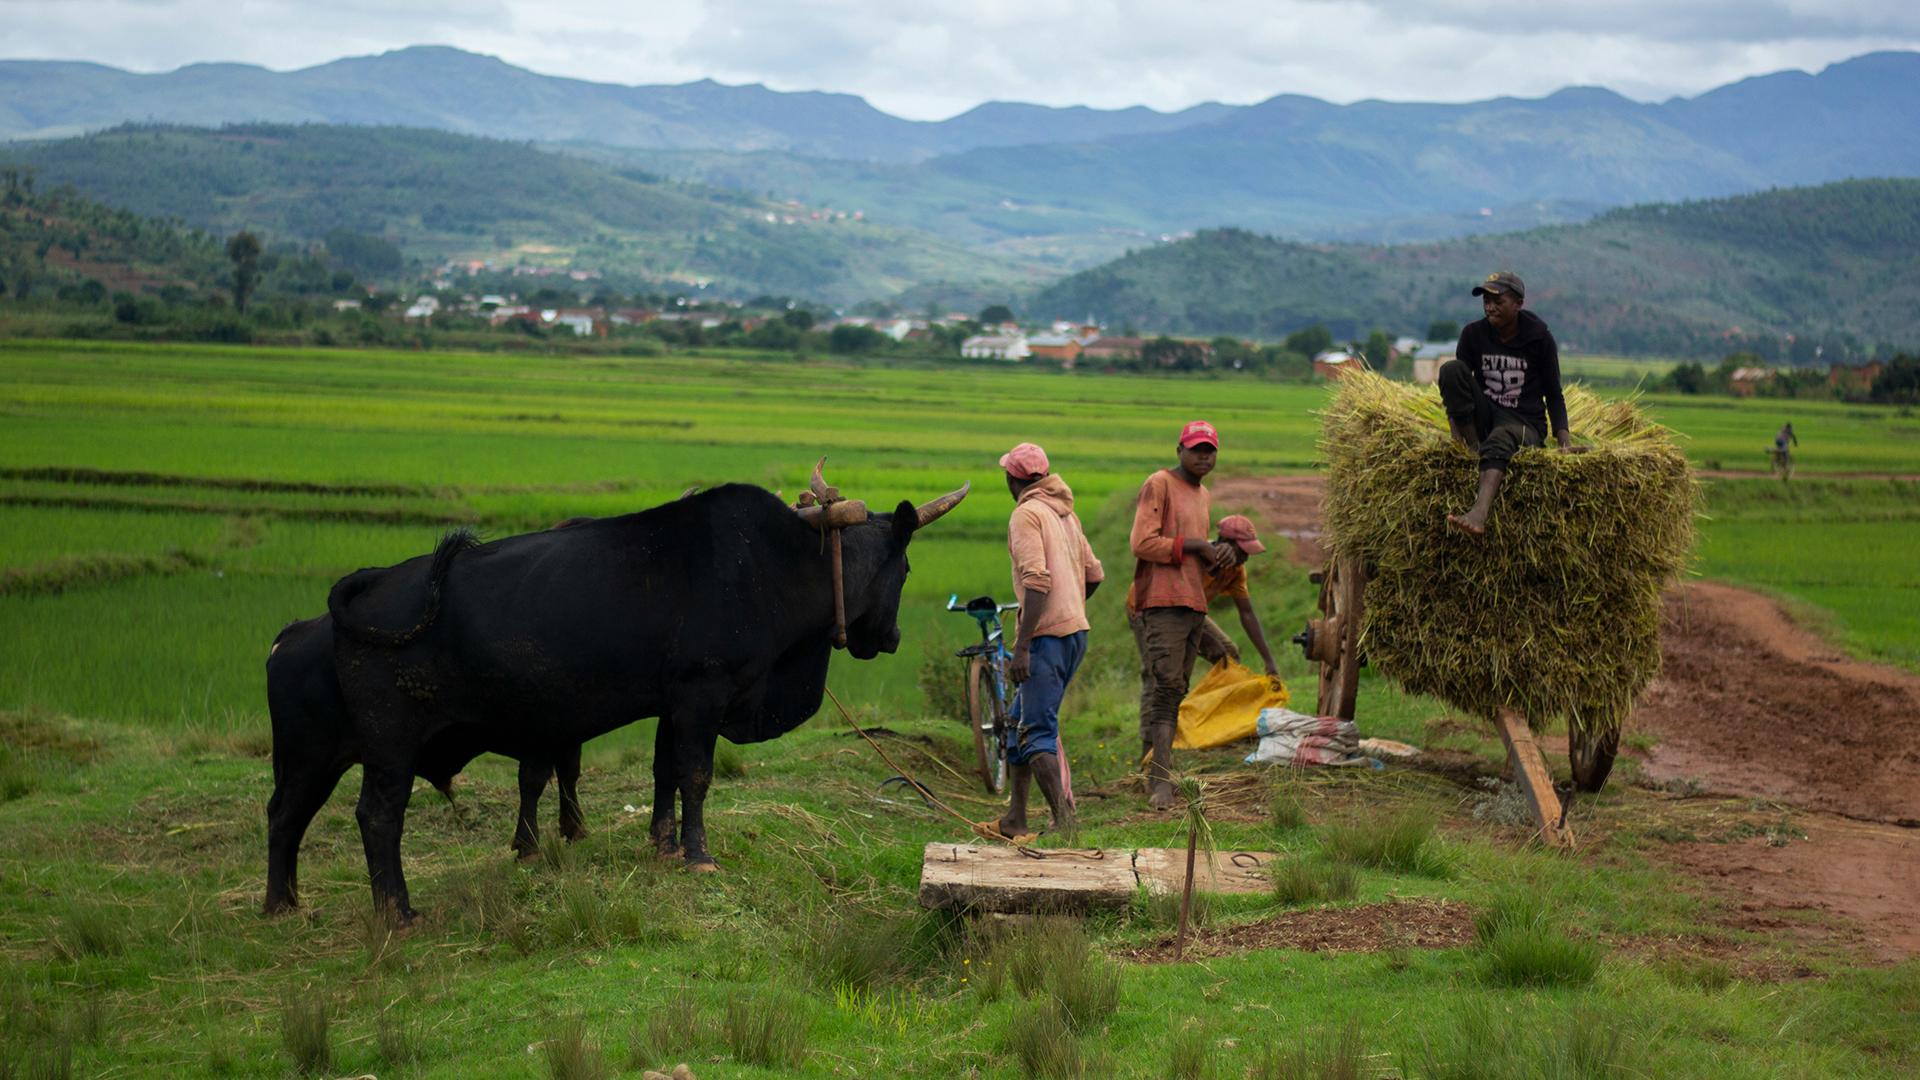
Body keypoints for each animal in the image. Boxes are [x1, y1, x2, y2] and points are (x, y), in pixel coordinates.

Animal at [261, 614, 583, 907]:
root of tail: (295, 632)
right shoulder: (539, 741)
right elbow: (533, 782)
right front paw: (530, 847)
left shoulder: (564, 739)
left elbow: (568, 774)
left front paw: (574, 829)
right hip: (309, 764)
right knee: (284, 818)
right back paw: (279, 905)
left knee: (292, 822)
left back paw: (289, 900)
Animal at [324, 478, 975, 914]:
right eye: (907, 569)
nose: (890, 638)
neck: (782, 564)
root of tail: (372, 581)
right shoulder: (702, 694)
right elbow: (695, 775)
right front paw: (697, 854)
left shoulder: (673, 703)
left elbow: (665, 771)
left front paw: (662, 844)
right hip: (391, 742)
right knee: (379, 815)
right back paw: (398, 912)